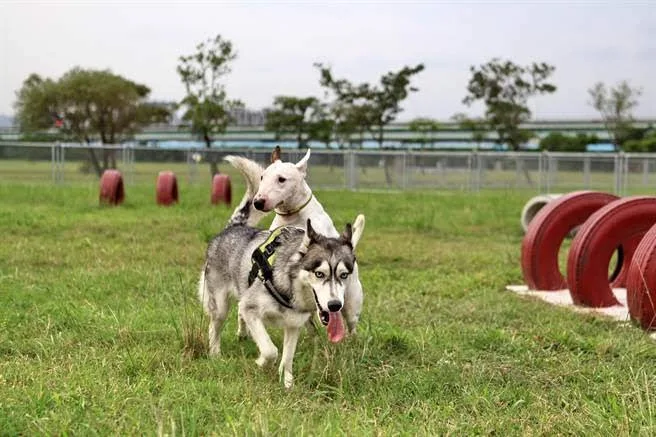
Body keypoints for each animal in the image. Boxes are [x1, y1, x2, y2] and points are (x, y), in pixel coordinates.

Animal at [200, 175, 364, 386]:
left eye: (343, 275)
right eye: (319, 274)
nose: (335, 305)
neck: (290, 284)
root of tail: (232, 228)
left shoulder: (293, 325)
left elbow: (287, 357)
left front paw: (287, 384)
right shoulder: (250, 308)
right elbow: (271, 351)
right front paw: (261, 362)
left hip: (351, 309)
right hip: (220, 305)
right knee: (215, 326)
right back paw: (215, 354)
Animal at [227, 146, 366, 334]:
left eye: (282, 179)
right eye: (262, 177)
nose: (258, 202)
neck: (292, 217)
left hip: (351, 303)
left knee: (350, 324)